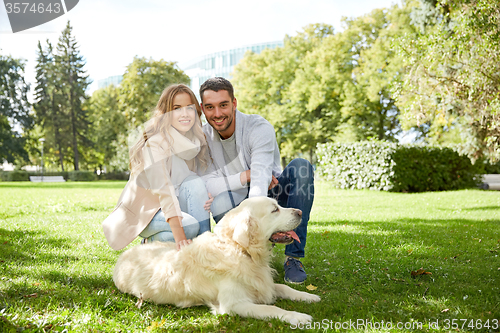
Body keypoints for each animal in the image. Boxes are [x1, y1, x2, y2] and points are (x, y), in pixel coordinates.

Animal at [112, 196, 320, 322]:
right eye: (275, 210)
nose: (300, 212)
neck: (238, 249)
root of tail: (123, 256)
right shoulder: (234, 305)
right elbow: (271, 310)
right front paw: (298, 316)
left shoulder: (261, 283)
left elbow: (283, 287)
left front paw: (308, 296)